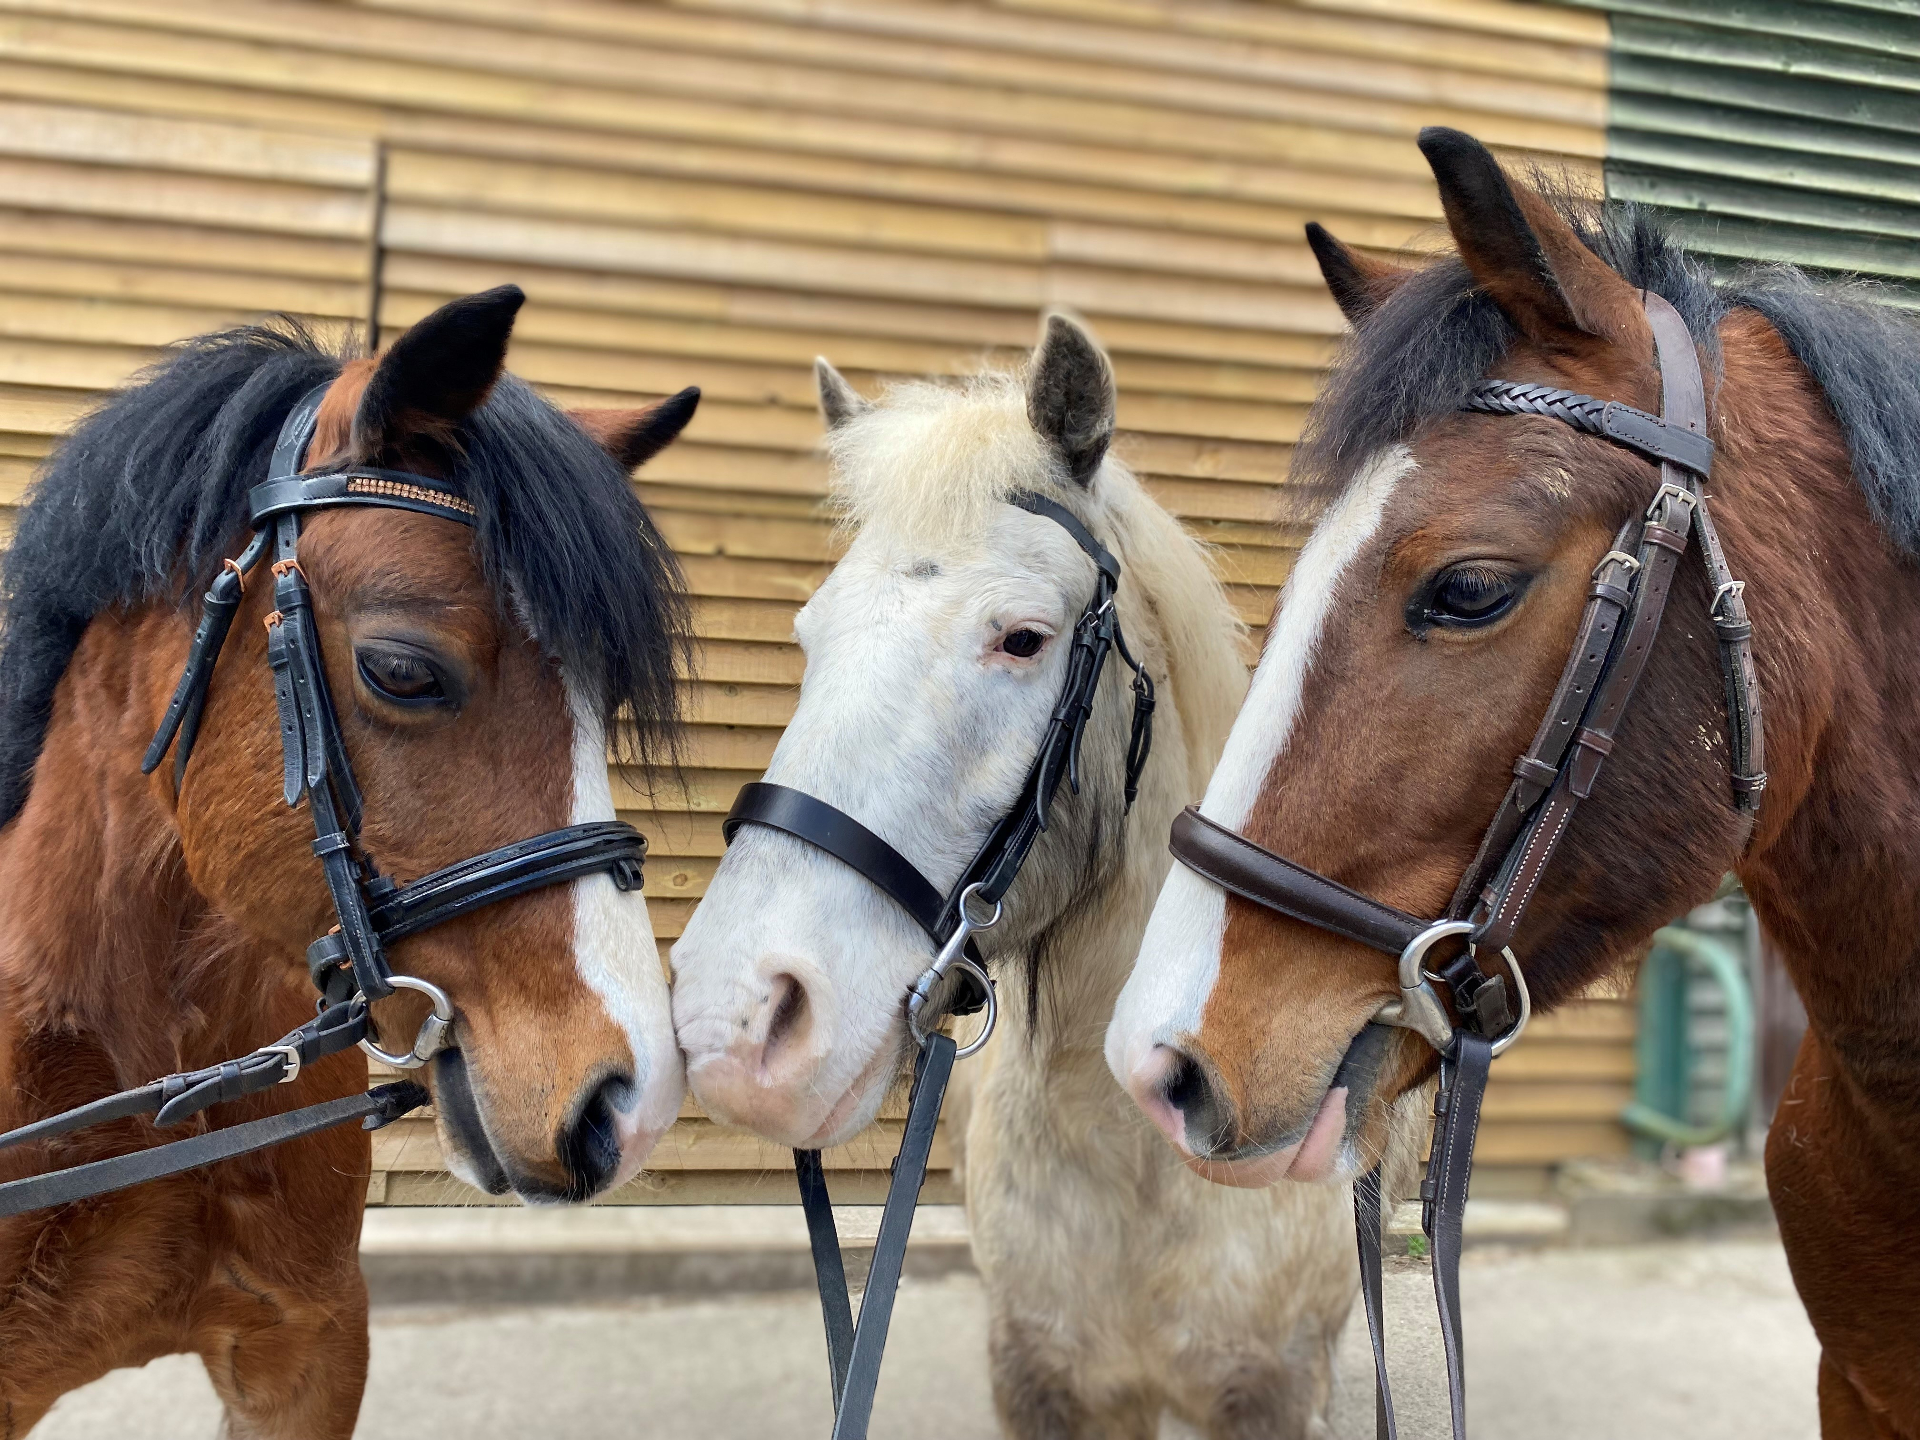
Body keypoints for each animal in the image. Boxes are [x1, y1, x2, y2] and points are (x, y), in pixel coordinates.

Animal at [672, 315, 1371, 1438]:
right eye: (811, 635)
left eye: (1022, 639)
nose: (730, 1020)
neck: (1142, 1161)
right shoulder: (1045, 1383)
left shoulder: (1266, 1395)